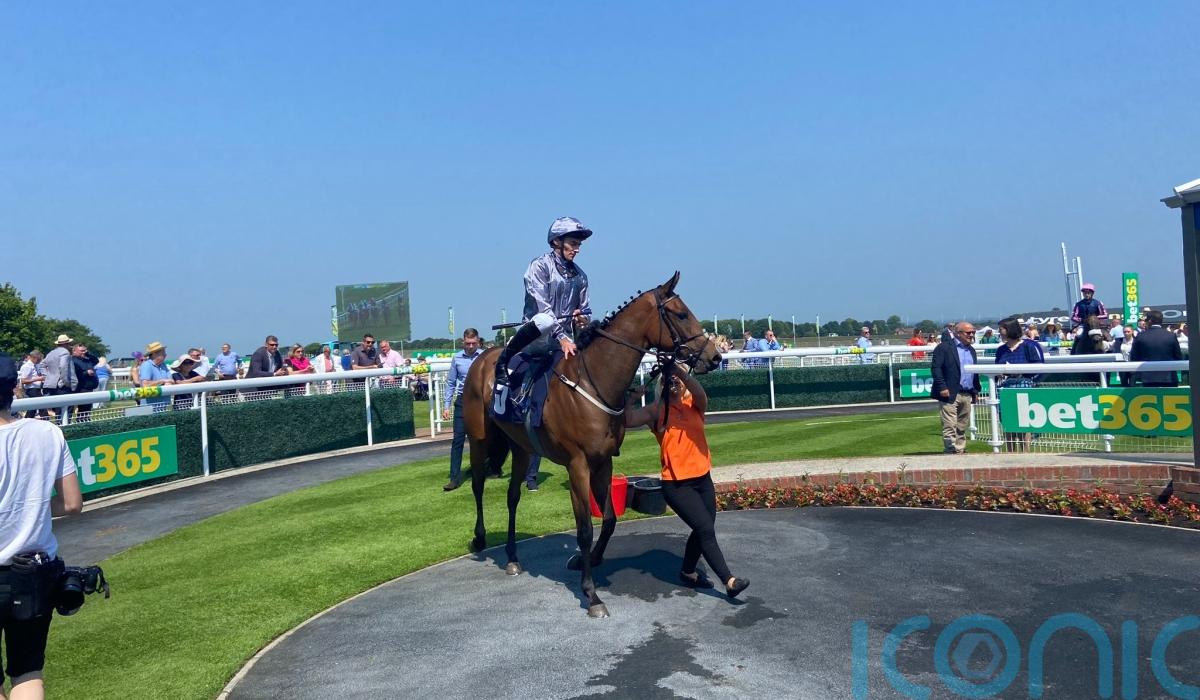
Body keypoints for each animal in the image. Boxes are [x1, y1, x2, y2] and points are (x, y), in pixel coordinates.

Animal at [461, 271, 721, 618]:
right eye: (680, 314)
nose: (715, 356)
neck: (593, 382)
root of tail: (484, 358)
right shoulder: (578, 465)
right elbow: (584, 529)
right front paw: (591, 594)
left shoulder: (603, 461)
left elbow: (609, 520)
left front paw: (592, 561)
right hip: (479, 438)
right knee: (477, 485)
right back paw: (479, 540)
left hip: (521, 447)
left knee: (512, 496)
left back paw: (513, 558)